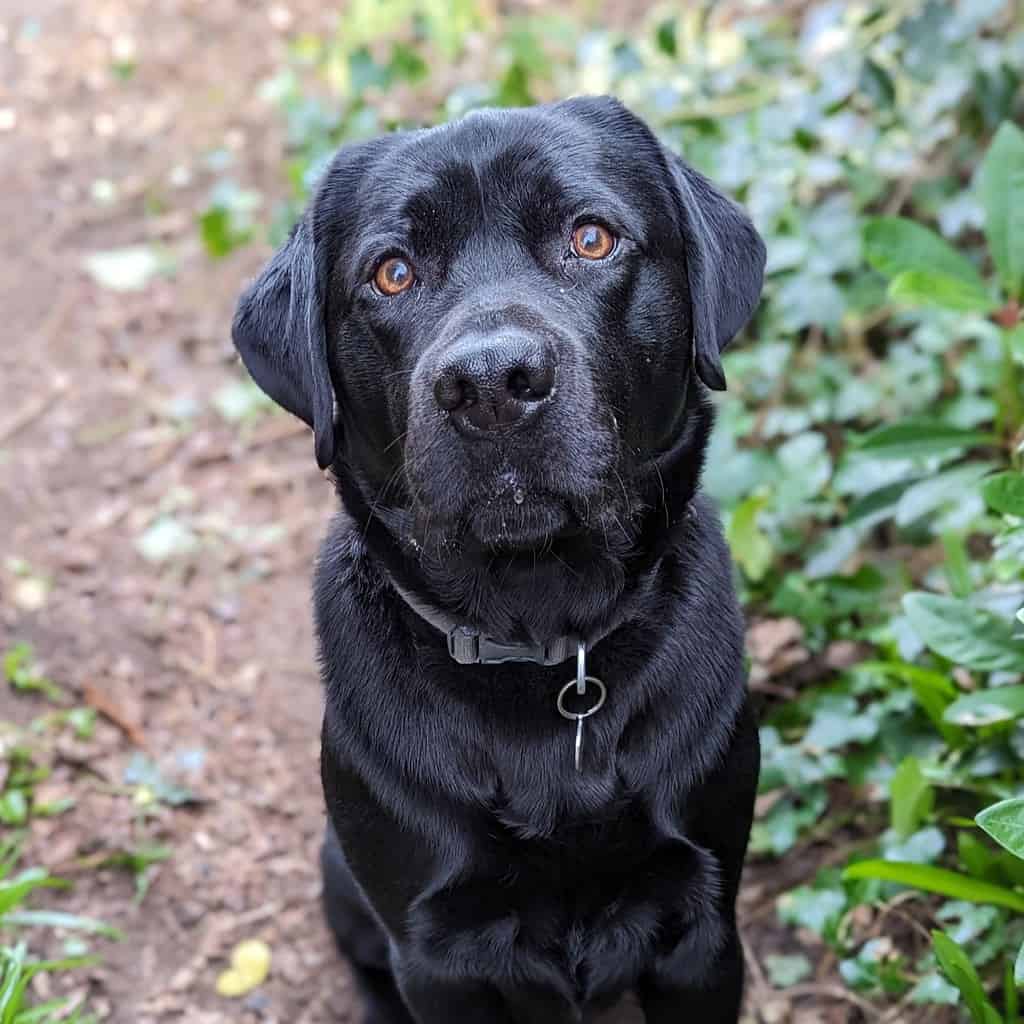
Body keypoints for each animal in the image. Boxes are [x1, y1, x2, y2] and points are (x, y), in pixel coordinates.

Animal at [232, 97, 761, 1024]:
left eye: (591, 238)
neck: (543, 642)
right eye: (393, 273)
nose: (489, 383)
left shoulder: (703, 923)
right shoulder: (438, 954)